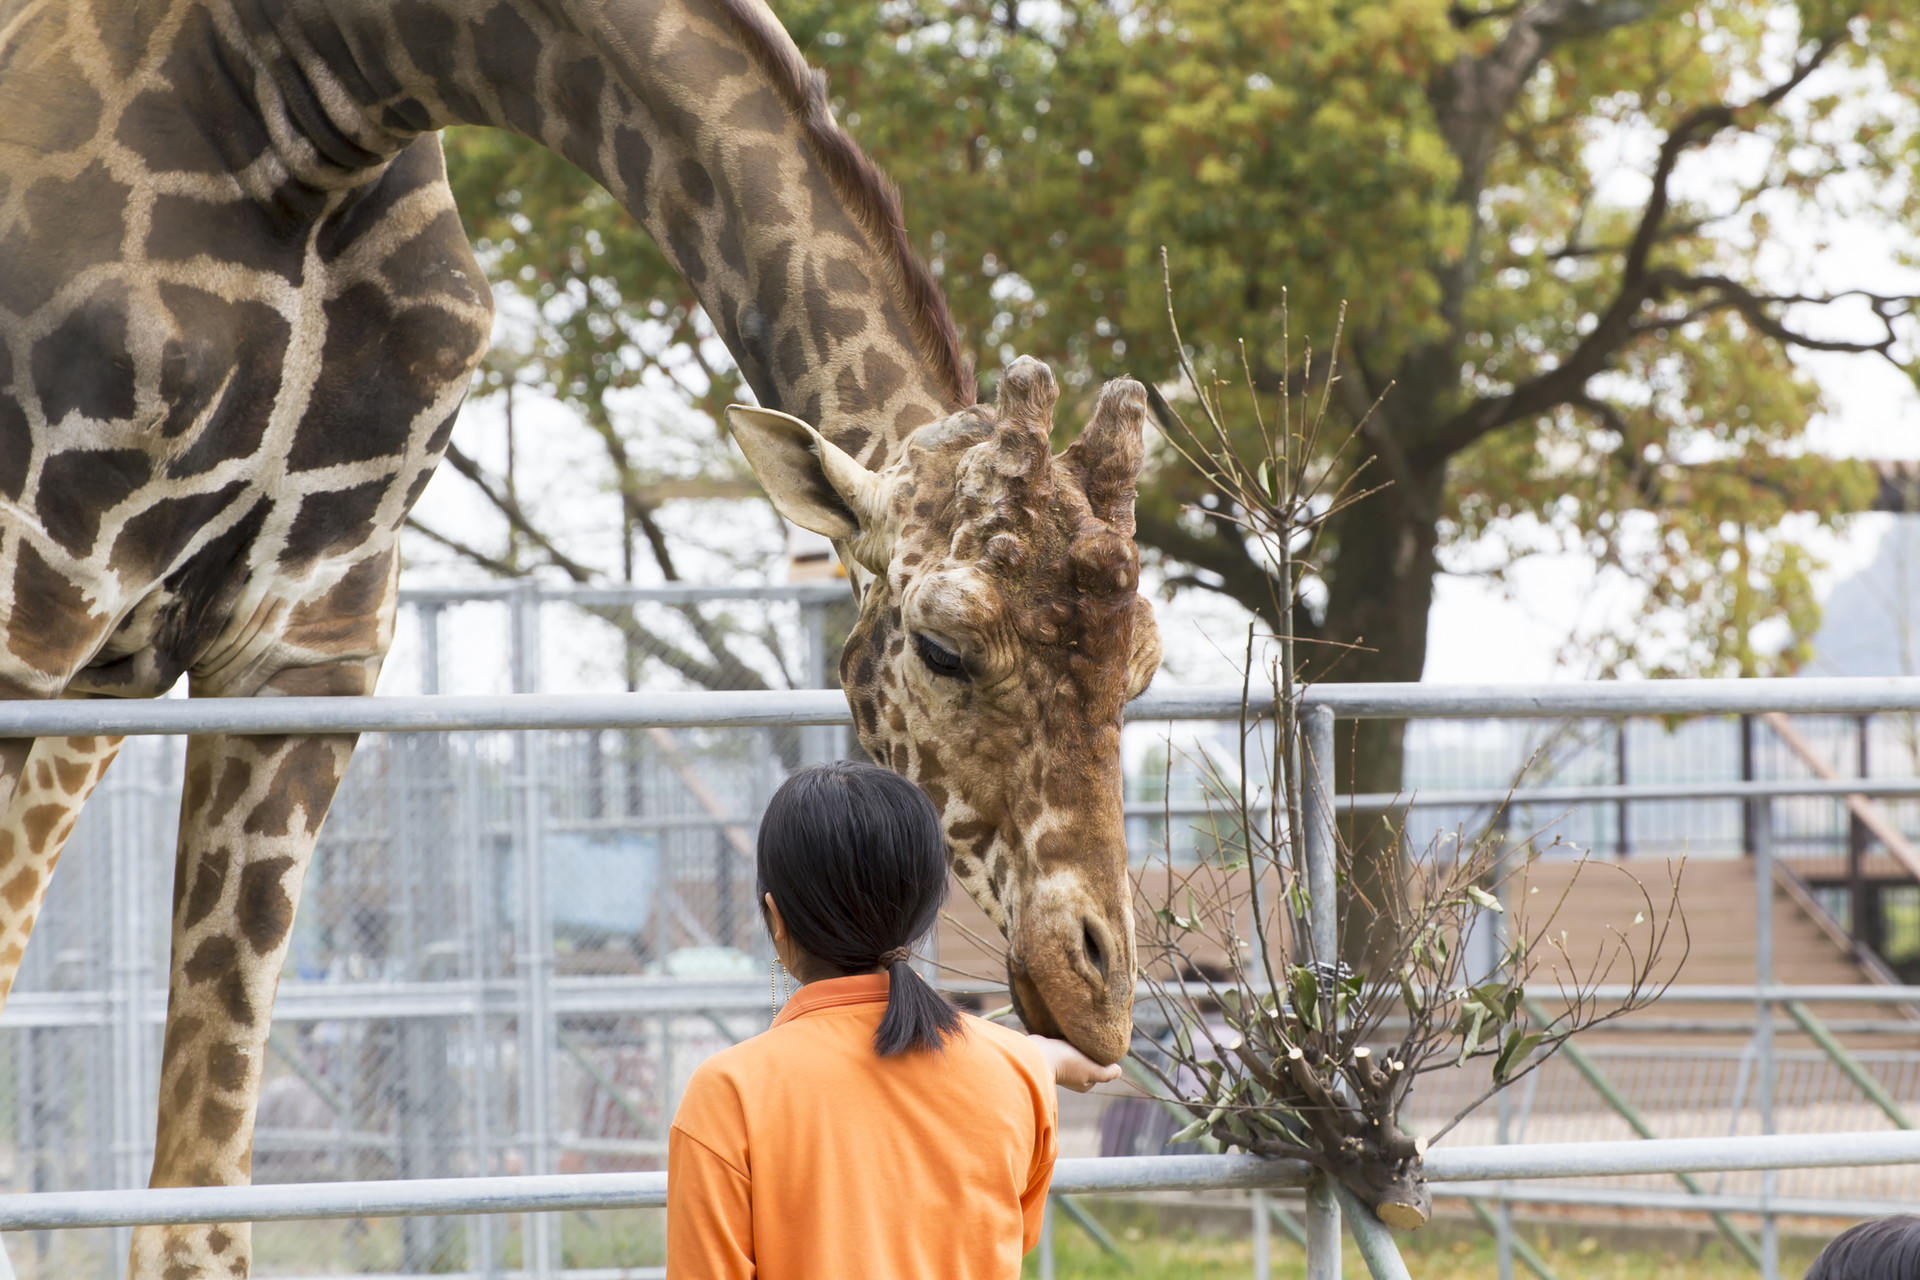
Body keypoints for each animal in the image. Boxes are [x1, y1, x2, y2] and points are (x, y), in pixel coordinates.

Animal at [0, 5, 1159, 1274]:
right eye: (944, 646)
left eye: (1145, 665)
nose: (1099, 992)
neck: (324, 92)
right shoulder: (32, 593)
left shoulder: (302, 648)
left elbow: (201, 1210)